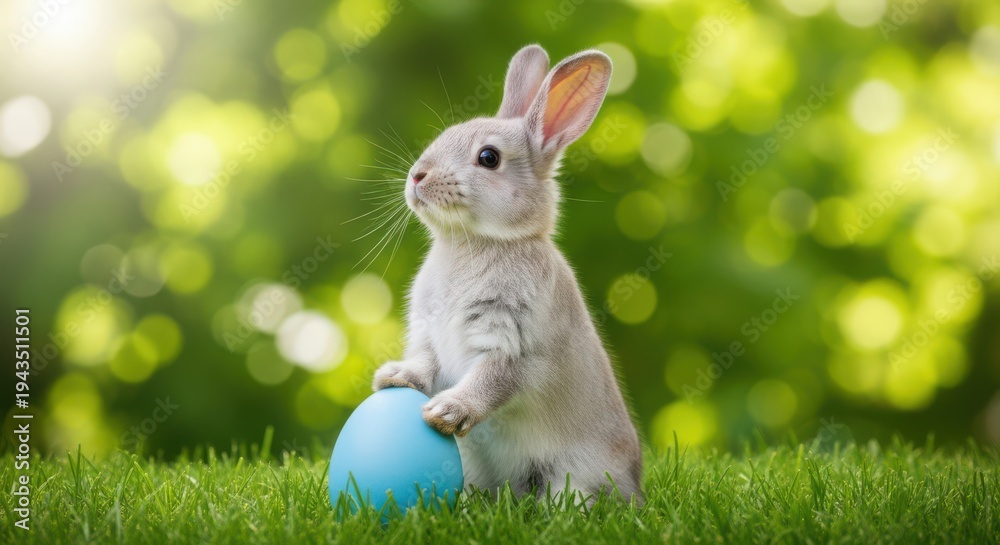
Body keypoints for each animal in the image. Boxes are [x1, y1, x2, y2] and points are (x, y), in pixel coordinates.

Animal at [372, 44, 643, 504]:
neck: (478, 243)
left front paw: (444, 412)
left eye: (489, 158)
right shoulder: (428, 335)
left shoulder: (515, 344)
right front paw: (392, 378)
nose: (417, 176)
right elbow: (424, 363)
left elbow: (492, 381)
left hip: (575, 476)